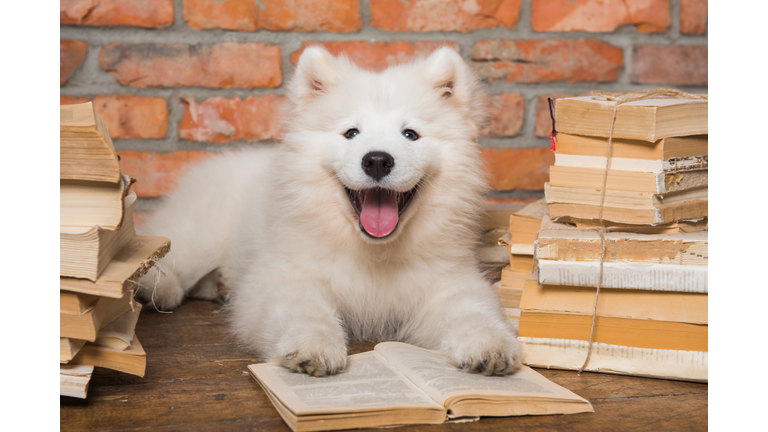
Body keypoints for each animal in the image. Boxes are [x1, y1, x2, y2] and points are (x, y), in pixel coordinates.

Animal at [136, 46, 520, 374]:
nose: (377, 160)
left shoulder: (447, 281)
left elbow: (471, 311)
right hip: (200, 237)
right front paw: (313, 347)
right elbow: (305, 310)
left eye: (410, 134)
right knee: (165, 254)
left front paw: (491, 346)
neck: (374, 252)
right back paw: (155, 289)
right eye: (351, 133)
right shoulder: (287, 276)